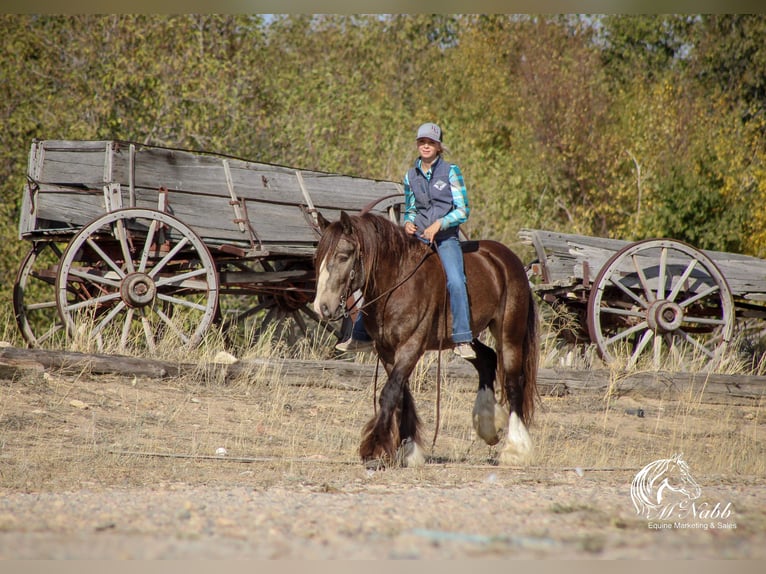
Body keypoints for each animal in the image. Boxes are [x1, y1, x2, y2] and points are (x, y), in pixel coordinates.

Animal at [312, 212, 540, 468]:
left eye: (343, 256)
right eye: (317, 258)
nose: (321, 307)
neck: (398, 282)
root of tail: (508, 259)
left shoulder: (411, 346)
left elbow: (389, 393)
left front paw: (375, 449)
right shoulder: (386, 350)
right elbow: (401, 394)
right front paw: (407, 449)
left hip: (509, 333)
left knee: (512, 382)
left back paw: (516, 448)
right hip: (465, 337)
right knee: (487, 359)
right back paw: (488, 425)